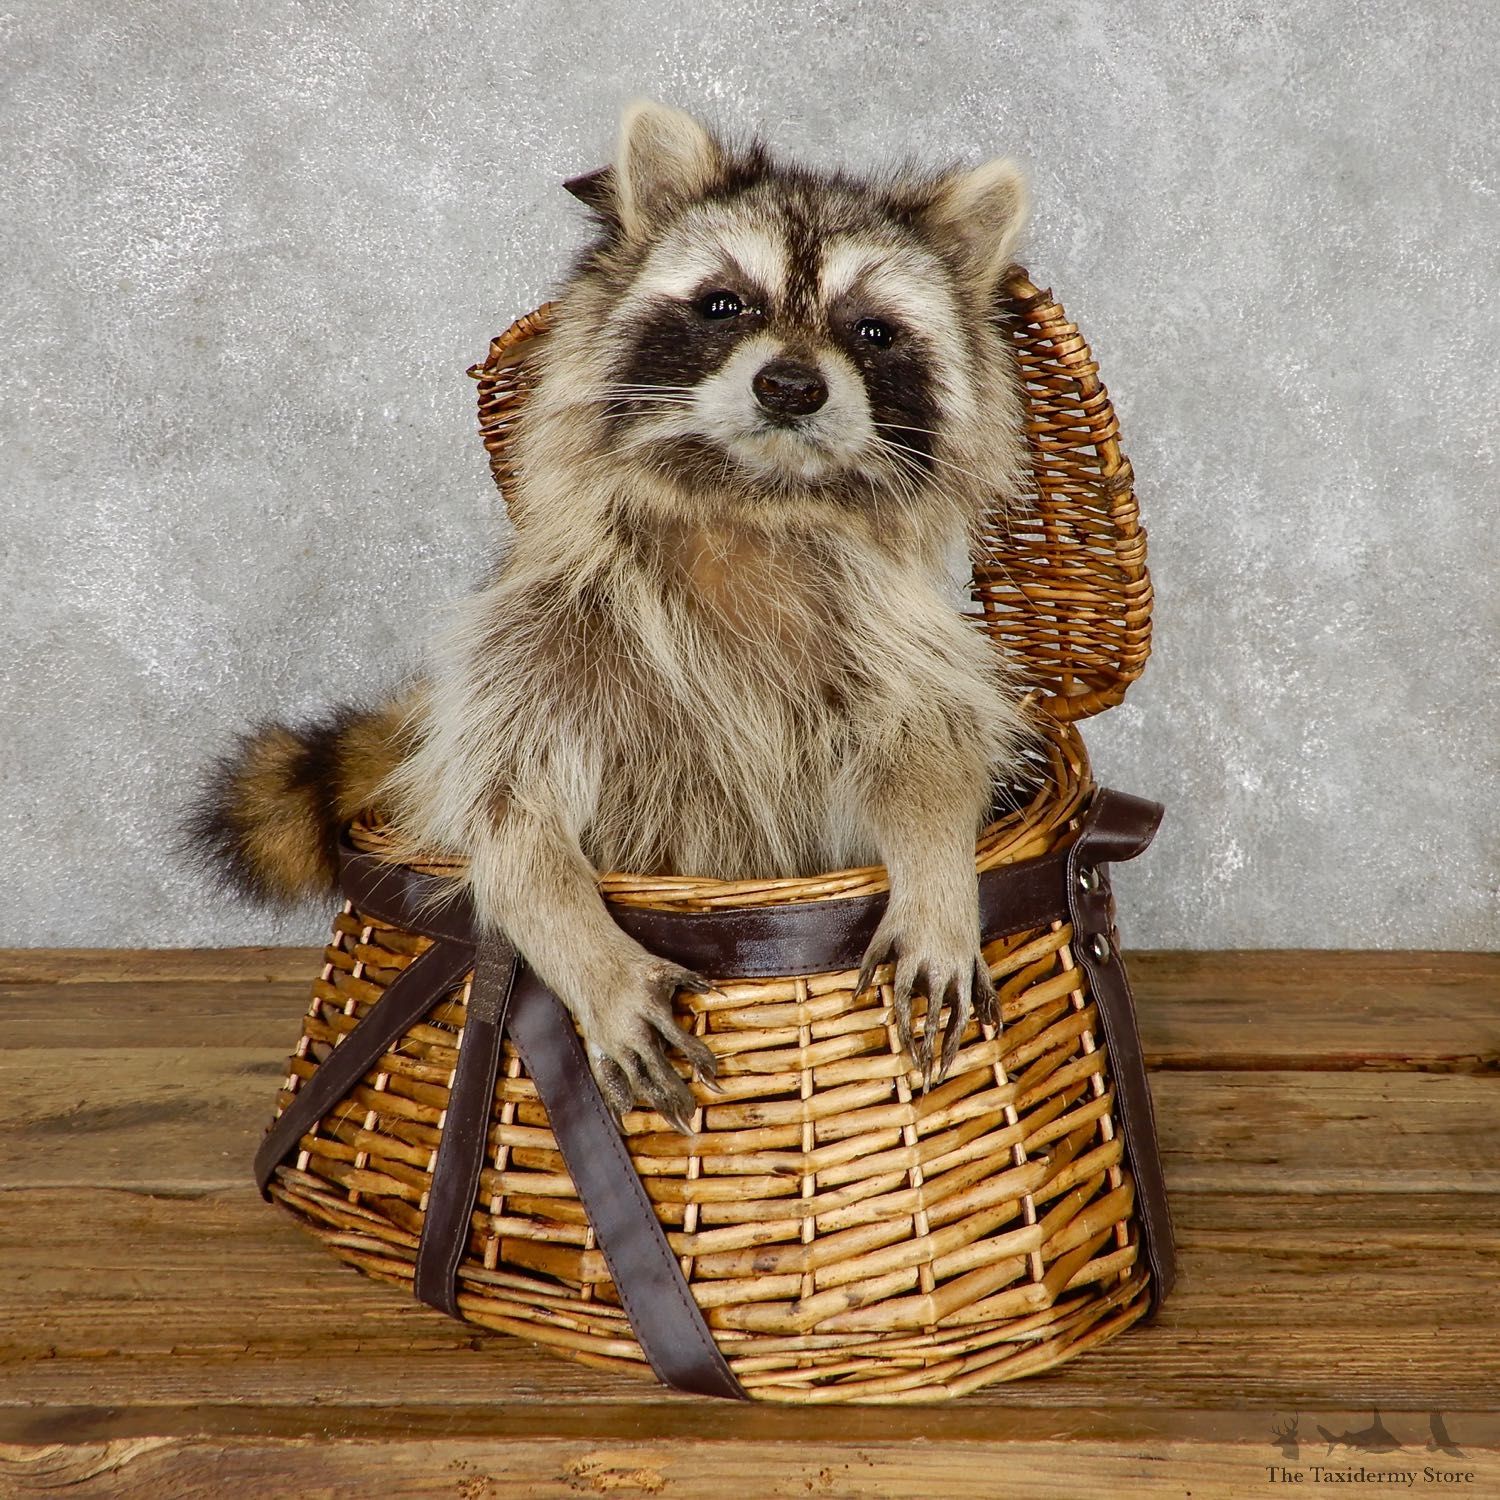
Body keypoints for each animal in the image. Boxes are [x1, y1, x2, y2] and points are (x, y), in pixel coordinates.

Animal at [190, 100, 1039, 1132]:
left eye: (872, 330)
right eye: (725, 304)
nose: (791, 385)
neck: (752, 501)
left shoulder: (897, 629)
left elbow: (931, 750)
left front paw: (937, 879)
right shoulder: (543, 621)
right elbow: (503, 809)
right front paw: (581, 942)